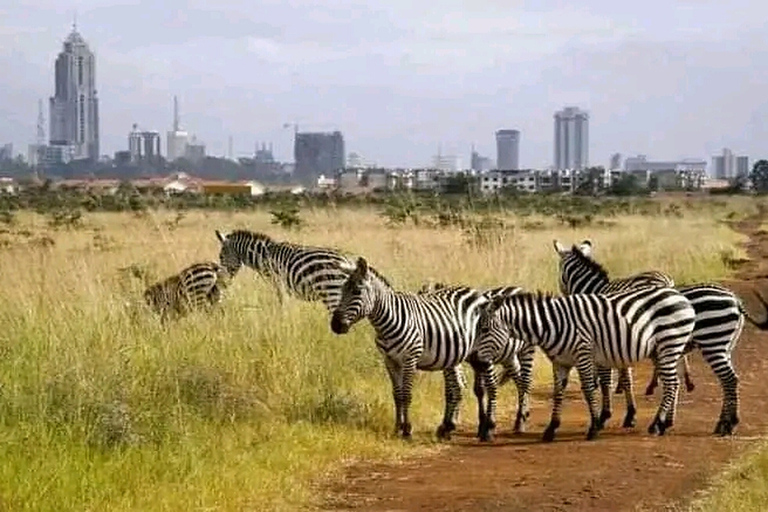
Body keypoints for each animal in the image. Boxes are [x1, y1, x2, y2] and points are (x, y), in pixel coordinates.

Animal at [213, 231, 390, 312]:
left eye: (221, 256)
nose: (222, 283)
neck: (264, 256)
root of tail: (348, 260)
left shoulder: (278, 283)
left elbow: (282, 304)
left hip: (332, 291)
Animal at [330, 258, 498, 442]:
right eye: (342, 290)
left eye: (357, 291)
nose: (335, 325)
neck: (388, 321)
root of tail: (477, 292)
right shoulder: (390, 361)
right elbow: (397, 394)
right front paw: (397, 428)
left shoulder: (409, 359)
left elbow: (406, 394)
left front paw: (407, 430)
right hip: (467, 354)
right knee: (462, 386)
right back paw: (465, 427)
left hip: (485, 350)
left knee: (491, 385)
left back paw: (489, 428)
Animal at [416, 282, 536, 434]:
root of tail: (520, 289)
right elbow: (464, 389)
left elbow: (465, 387)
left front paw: (452, 423)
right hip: (509, 356)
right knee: (519, 380)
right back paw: (521, 417)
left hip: (526, 350)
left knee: (526, 381)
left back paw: (521, 422)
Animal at [474, 286, 696, 442]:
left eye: (484, 329)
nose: (477, 360)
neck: (553, 325)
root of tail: (679, 296)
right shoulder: (560, 362)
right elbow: (558, 393)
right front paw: (551, 429)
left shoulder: (583, 354)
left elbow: (589, 390)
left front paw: (594, 427)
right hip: (661, 350)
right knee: (673, 384)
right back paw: (664, 424)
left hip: (670, 344)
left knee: (671, 385)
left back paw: (656, 425)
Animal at [556, 240, 768, 436]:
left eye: (559, 273)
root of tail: (735, 299)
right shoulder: (620, 345)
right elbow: (627, 379)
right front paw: (631, 415)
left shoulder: (609, 345)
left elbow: (609, 381)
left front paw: (605, 416)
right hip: (725, 344)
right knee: (729, 381)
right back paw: (724, 423)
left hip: (712, 341)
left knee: (729, 379)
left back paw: (727, 425)